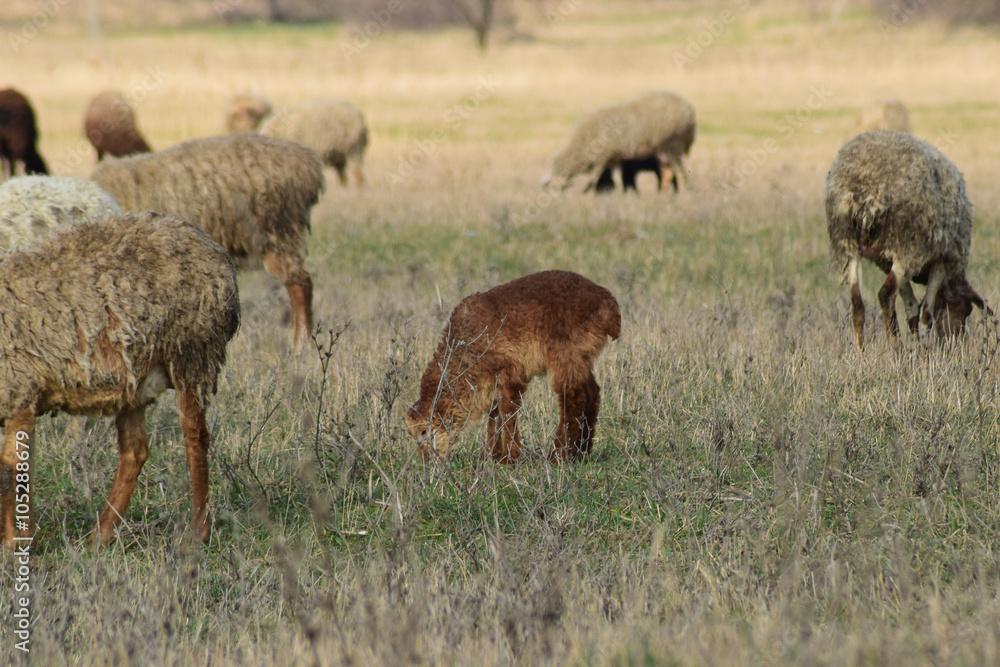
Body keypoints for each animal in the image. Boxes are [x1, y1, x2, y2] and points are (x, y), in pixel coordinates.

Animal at [0, 211, 240, 548]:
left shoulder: (19, 388)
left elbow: (11, 470)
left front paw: (12, 545)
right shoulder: (24, 396)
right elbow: (24, 465)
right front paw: (26, 536)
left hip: (193, 354)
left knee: (196, 438)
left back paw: (198, 532)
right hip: (134, 380)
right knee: (134, 452)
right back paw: (101, 535)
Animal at [406, 270, 620, 464]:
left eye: (424, 431)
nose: (426, 461)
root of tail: (608, 303)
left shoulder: (511, 373)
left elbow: (508, 412)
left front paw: (509, 457)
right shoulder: (491, 381)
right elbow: (495, 416)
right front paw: (490, 456)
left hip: (564, 354)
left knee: (573, 398)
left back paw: (558, 455)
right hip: (581, 357)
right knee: (592, 393)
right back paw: (582, 452)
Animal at [542, 91, 695, 193]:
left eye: (556, 177)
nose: (554, 195)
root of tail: (689, 110)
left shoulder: (602, 158)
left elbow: (594, 177)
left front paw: (587, 192)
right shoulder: (614, 158)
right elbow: (617, 178)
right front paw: (621, 193)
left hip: (673, 145)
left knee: (680, 172)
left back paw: (685, 193)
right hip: (662, 151)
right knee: (667, 174)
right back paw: (662, 195)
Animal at [825, 130, 987, 348]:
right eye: (966, 310)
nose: (956, 344)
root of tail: (865, 188)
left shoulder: (889, 262)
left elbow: (911, 308)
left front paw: (917, 345)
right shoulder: (941, 259)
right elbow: (925, 312)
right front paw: (924, 348)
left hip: (847, 245)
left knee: (857, 304)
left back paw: (860, 350)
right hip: (908, 245)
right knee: (885, 295)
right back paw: (896, 347)